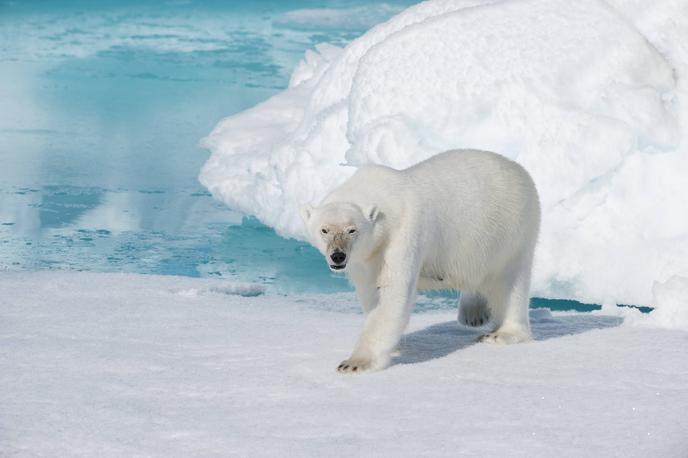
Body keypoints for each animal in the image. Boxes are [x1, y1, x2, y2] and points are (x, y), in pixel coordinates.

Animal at [300, 150, 536, 372]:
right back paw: (474, 313)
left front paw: (354, 362)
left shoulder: (402, 234)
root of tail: (520, 170)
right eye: (324, 230)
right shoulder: (365, 259)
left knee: (510, 283)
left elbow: (393, 293)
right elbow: (371, 293)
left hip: (510, 231)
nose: (338, 255)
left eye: (352, 230)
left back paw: (501, 333)